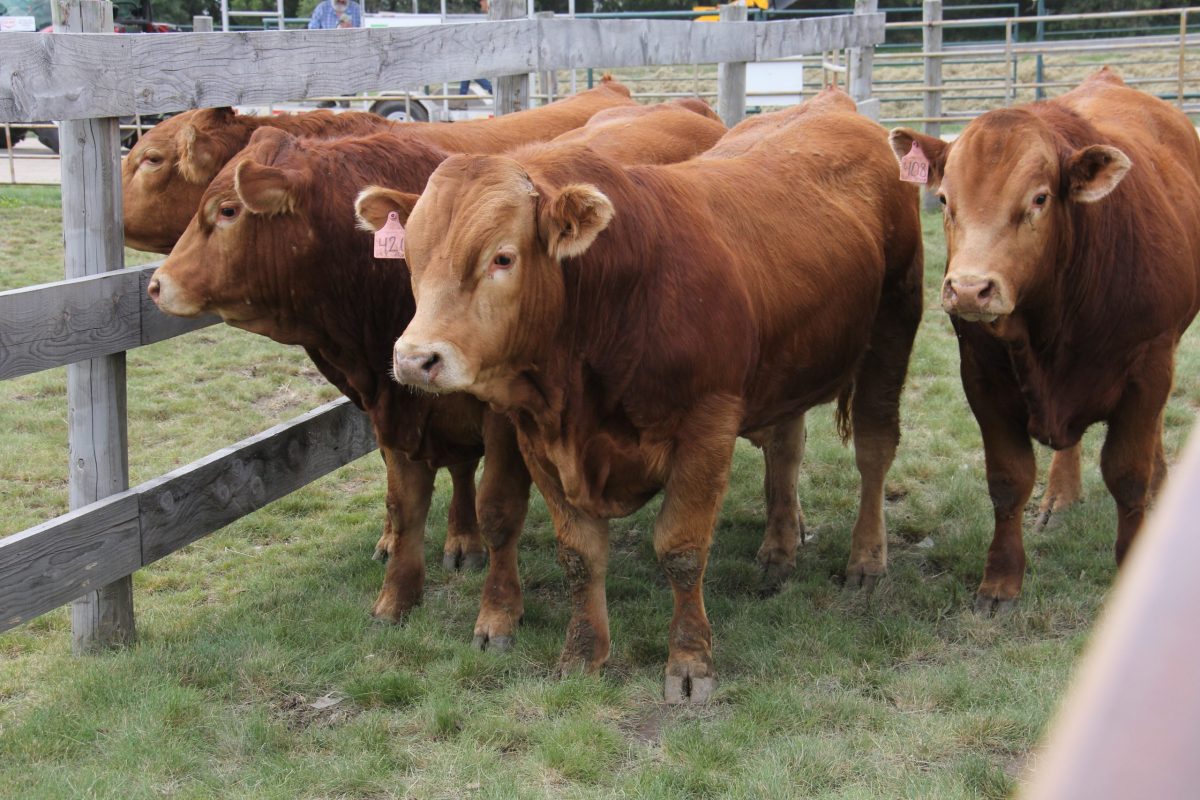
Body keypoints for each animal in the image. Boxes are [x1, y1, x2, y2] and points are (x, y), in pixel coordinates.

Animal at [146, 101, 728, 647]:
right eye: (410, 255)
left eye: (226, 210)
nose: (156, 284)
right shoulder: (396, 405)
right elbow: (405, 504)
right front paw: (396, 597)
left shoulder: (505, 420)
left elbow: (498, 511)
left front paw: (497, 612)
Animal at [361, 88, 924, 702]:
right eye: (410, 257)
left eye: (502, 257)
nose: (414, 359)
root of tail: (833, 102)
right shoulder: (539, 439)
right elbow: (579, 556)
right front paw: (583, 654)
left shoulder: (706, 428)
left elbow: (681, 550)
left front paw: (690, 661)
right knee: (786, 448)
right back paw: (778, 550)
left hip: (891, 334)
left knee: (874, 449)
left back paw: (866, 558)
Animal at [888, 67, 1200, 613]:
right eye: (944, 199)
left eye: (1038, 198)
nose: (969, 288)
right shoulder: (981, 378)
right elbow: (1008, 480)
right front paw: (1000, 580)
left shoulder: (1148, 367)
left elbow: (1128, 475)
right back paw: (1061, 494)